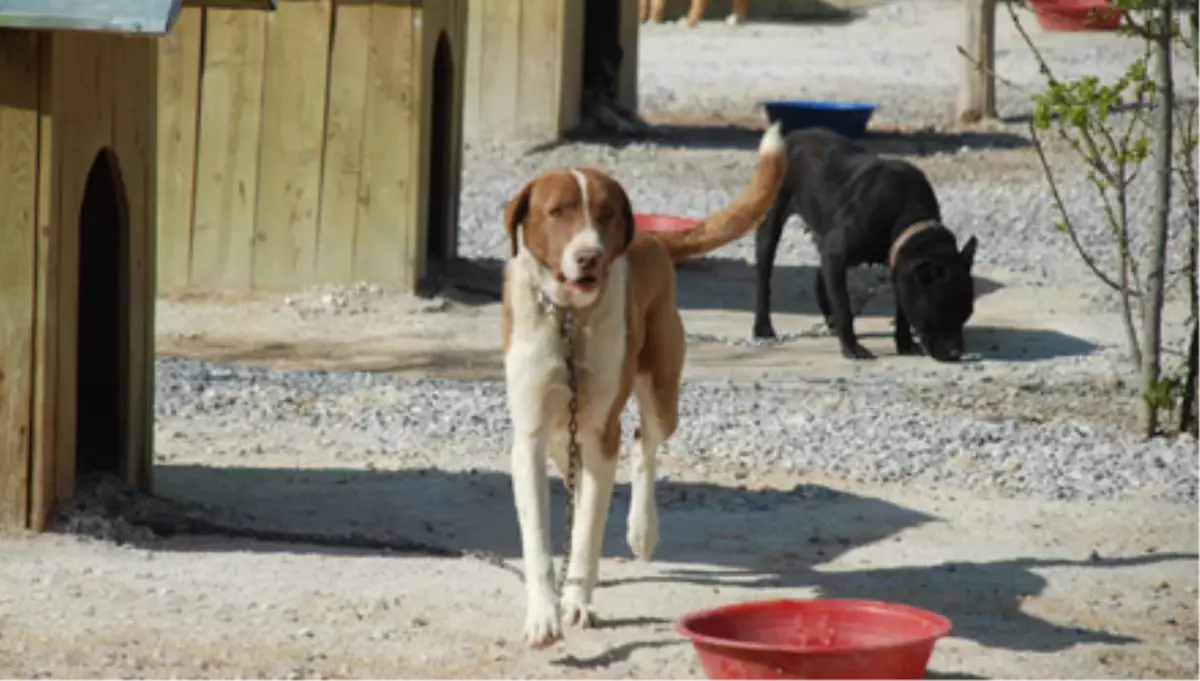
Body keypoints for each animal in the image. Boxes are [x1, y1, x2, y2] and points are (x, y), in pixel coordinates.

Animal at [499, 122, 787, 647]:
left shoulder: (599, 431)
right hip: (563, 429)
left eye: (606, 214)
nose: (589, 256)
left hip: (660, 392)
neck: (569, 319)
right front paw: (544, 613)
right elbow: (539, 539)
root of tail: (652, 238)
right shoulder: (530, 434)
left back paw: (641, 530)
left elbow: (588, 529)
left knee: (643, 444)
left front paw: (577, 601)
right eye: (557, 212)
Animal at [753, 127, 979, 362]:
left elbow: (902, 310)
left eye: (967, 314)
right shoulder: (837, 254)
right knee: (764, 277)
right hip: (770, 222)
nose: (956, 354)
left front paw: (905, 343)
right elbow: (844, 307)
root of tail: (793, 135)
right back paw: (763, 327)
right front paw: (851, 347)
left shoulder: (900, 268)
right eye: (939, 314)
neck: (905, 212)